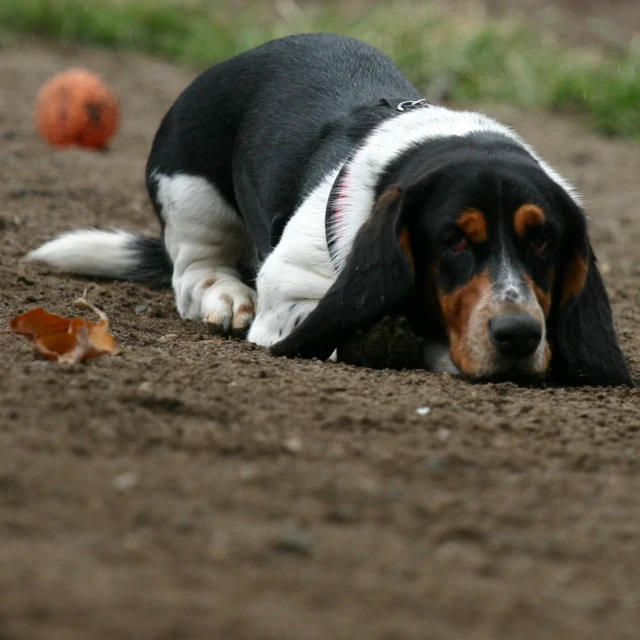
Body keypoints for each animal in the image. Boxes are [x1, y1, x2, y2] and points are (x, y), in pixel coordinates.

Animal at [26, 33, 636, 384]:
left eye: (543, 241)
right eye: (454, 241)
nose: (518, 334)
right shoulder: (287, 293)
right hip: (192, 194)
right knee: (193, 272)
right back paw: (226, 295)